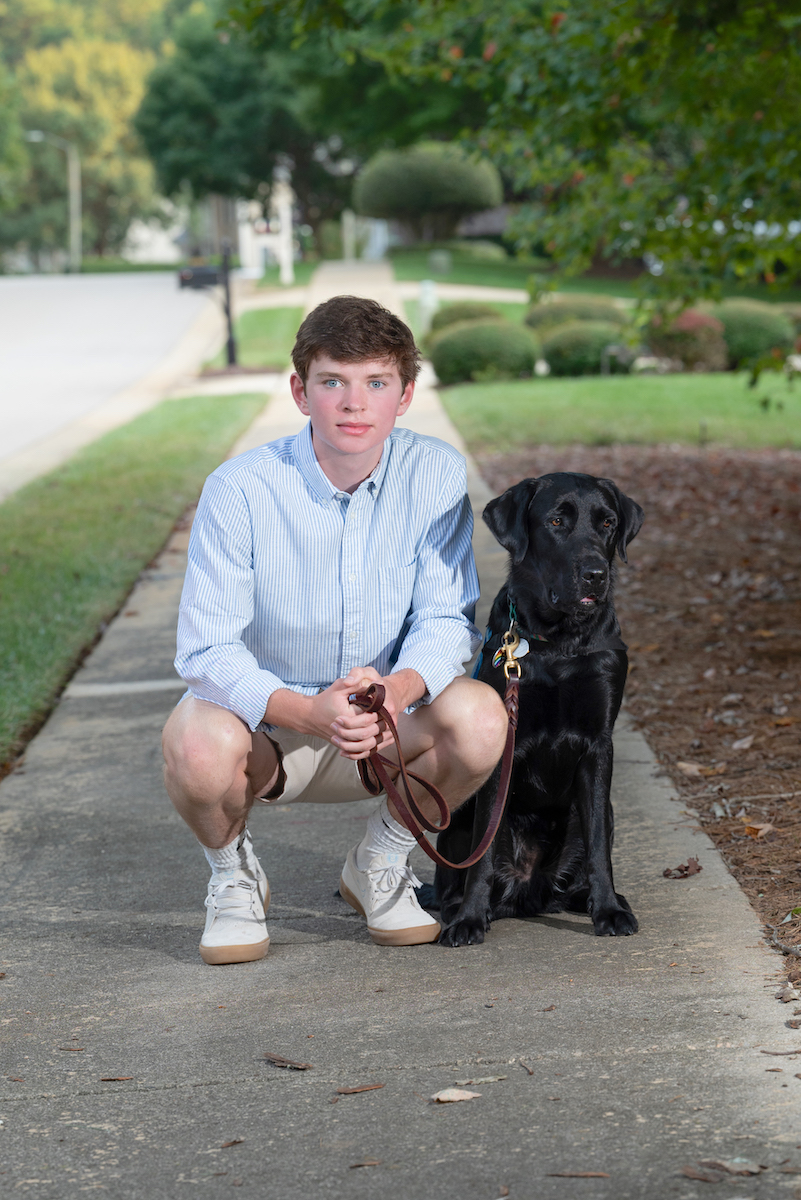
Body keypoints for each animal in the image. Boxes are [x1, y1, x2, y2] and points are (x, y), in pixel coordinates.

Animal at [438, 468, 642, 945]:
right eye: (556, 522)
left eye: (608, 524)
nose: (595, 574)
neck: (559, 643)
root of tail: (530, 891)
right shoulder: (502, 742)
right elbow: (483, 849)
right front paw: (470, 918)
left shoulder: (598, 744)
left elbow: (599, 846)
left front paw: (608, 910)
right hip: (458, 808)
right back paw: (457, 907)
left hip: (599, 810)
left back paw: (598, 899)